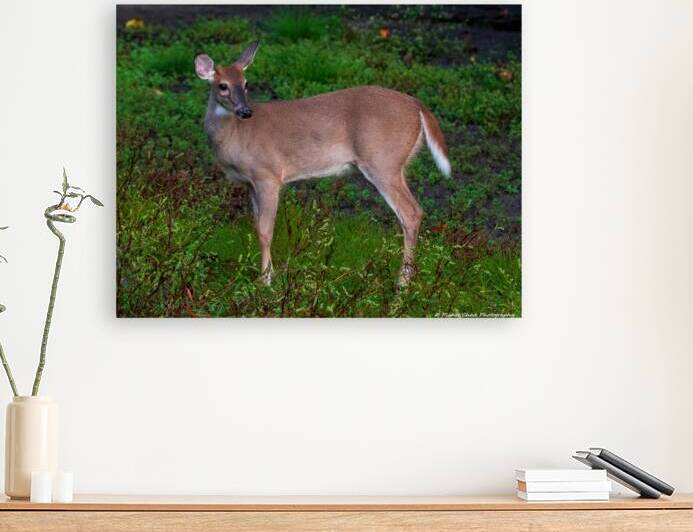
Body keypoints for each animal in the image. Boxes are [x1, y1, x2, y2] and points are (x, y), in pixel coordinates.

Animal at [195, 41, 451, 286]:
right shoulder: (250, 183)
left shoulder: (268, 174)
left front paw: (265, 280)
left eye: (246, 83)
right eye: (223, 85)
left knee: (411, 212)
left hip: (383, 162)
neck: (236, 135)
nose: (245, 111)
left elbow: (266, 231)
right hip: (397, 165)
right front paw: (268, 275)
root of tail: (418, 106)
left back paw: (402, 284)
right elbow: (257, 226)